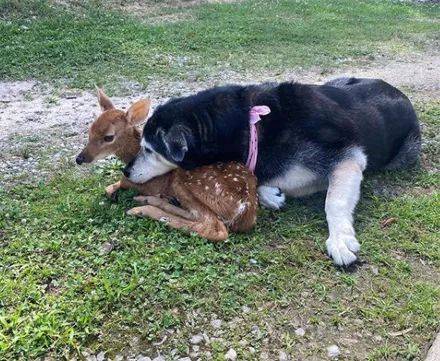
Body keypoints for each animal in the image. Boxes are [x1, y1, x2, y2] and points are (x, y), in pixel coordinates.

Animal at [76, 87, 258, 240]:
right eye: (90, 130)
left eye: (109, 137)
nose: (79, 158)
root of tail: (246, 208)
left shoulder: (144, 182)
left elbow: (120, 183)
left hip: (189, 182)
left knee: (214, 228)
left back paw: (142, 209)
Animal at [123, 77, 420, 266]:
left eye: (148, 149)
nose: (126, 171)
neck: (250, 125)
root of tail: (395, 90)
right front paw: (270, 194)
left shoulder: (348, 158)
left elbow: (333, 200)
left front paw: (340, 239)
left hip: (406, 154)